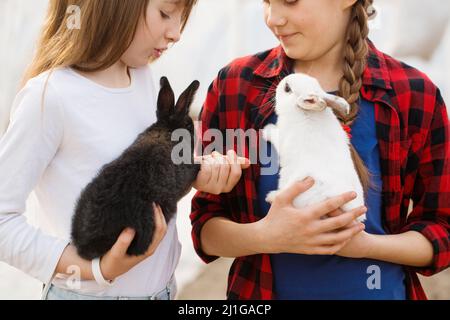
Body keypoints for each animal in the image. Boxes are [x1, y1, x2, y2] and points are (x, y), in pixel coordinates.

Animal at [264, 73, 366, 221]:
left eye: (287, 88)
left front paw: (266, 130)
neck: (304, 112)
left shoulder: (282, 138)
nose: (278, 84)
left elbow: (274, 135)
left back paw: (271, 196)